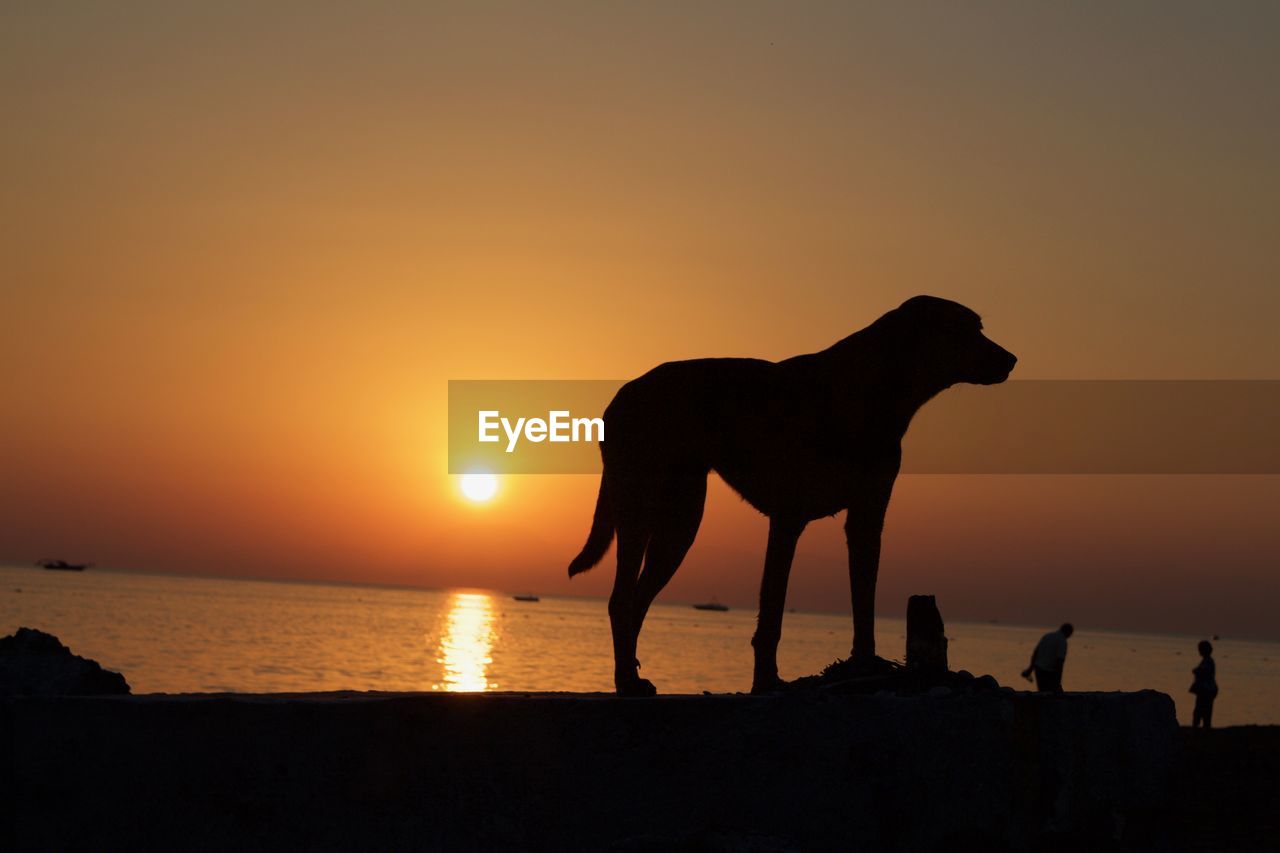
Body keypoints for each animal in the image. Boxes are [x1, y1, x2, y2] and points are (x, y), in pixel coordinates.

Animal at [565, 295, 1013, 696]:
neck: (868, 392)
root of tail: (621, 396)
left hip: (680, 519)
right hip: (642, 508)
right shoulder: (788, 519)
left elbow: (863, 604)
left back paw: (632, 676)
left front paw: (864, 665)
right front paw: (766, 681)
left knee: (636, 602)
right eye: (963, 328)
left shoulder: (867, 519)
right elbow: (772, 613)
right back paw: (626, 681)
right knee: (622, 600)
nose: (1011, 360)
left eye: (979, 326)